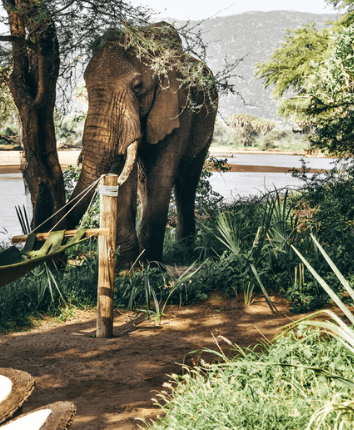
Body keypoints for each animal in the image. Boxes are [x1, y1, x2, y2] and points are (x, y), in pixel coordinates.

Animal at [68, 21, 218, 268]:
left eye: (137, 87)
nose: (55, 264)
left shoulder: (179, 108)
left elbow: (161, 174)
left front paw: (151, 265)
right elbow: (125, 178)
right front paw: (128, 268)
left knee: (186, 182)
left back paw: (185, 249)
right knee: (143, 181)